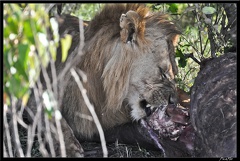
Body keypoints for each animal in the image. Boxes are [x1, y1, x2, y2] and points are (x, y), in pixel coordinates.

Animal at [26, 3, 191, 157]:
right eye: (163, 72)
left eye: (174, 74)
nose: (173, 102)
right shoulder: (34, 91)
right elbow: (52, 120)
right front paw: (69, 148)